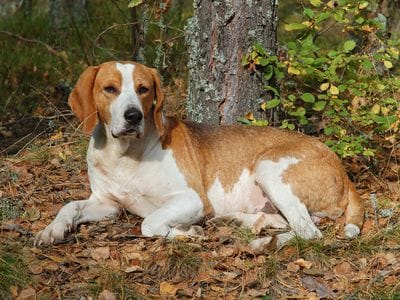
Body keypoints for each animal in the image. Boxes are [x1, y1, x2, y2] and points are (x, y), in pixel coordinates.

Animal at [34, 60, 364, 246]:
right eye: (110, 89)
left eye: (143, 89)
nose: (133, 116)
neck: (124, 155)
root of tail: (341, 168)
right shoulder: (107, 204)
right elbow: (69, 206)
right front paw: (52, 230)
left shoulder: (191, 199)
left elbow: (149, 223)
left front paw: (185, 233)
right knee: (288, 223)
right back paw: (239, 223)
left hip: (269, 167)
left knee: (309, 233)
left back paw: (262, 244)